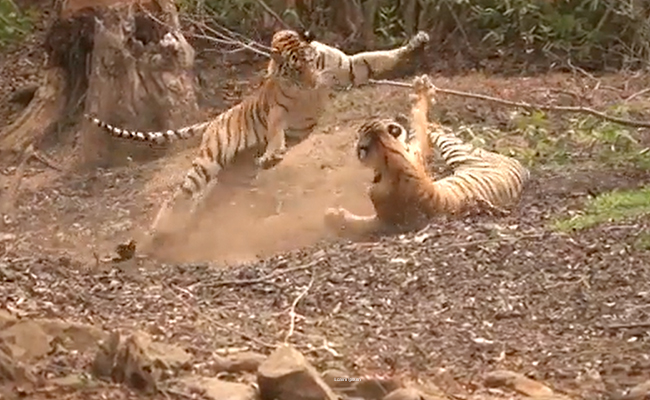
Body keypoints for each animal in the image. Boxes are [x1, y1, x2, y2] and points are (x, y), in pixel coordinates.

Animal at [85, 29, 430, 251]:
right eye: (294, 69)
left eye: (310, 61)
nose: (312, 83)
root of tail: (214, 120)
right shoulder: (278, 109)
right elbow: (276, 131)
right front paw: (274, 154)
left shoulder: (346, 66)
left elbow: (376, 58)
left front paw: (415, 44)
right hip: (208, 162)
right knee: (179, 195)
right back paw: (160, 230)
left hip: (234, 178)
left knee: (204, 205)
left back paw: (189, 233)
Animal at [324, 74, 530, 238]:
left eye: (360, 142)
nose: (356, 143)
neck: (392, 155)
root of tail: (520, 165)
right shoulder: (415, 149)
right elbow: (419, 123)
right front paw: (420, 93)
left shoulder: (385, 221)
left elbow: (360, 224)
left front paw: (334, 216)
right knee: (433, 128)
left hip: (458, 151)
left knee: (444, 133)